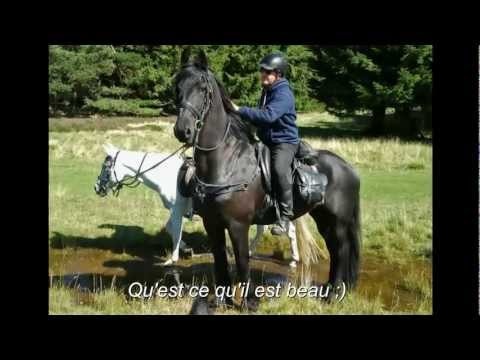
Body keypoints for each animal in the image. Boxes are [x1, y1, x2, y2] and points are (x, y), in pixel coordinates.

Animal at [94, 143, 300, 268]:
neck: (164, 174)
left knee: (289, 231)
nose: (97, 188)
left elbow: (175, 231)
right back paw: (250, 251)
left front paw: (173, 258)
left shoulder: (177, 210)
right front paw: (186, 249)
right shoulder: (176, 211)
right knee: (263, 230)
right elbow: (170, 228)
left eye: (105, 167)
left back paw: (293, 260)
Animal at [172, 49, 360, 310]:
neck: (226, 162)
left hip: (339, 221)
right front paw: (222, 301)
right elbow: (220, 262)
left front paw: (249, 301)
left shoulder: (238, 225)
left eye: (202, 87)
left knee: (341, 251)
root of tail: (347, 167)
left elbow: (242, 261)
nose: (183, 130)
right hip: (324, 218)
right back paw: (328, 291)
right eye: (178, 86)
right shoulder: (213, 224)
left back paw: (333, 294)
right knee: (334, 249)